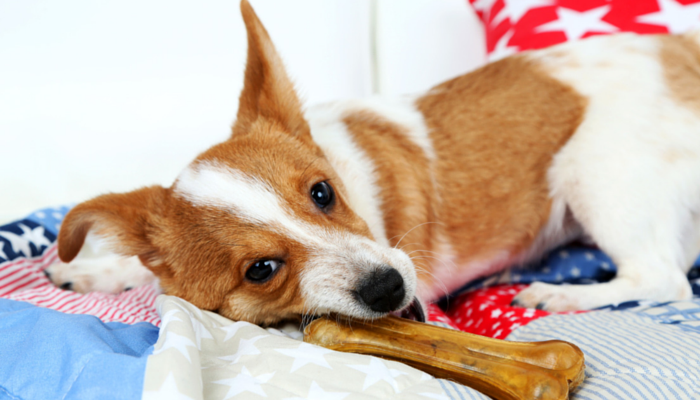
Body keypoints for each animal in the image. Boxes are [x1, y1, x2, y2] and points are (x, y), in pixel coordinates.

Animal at [46, 0, 700, 324]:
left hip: (596, 175)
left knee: (662, 277)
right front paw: (97, 271)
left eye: (322, 193)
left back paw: (559, 295)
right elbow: (144, 269)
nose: (390, 287)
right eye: (261, 269)